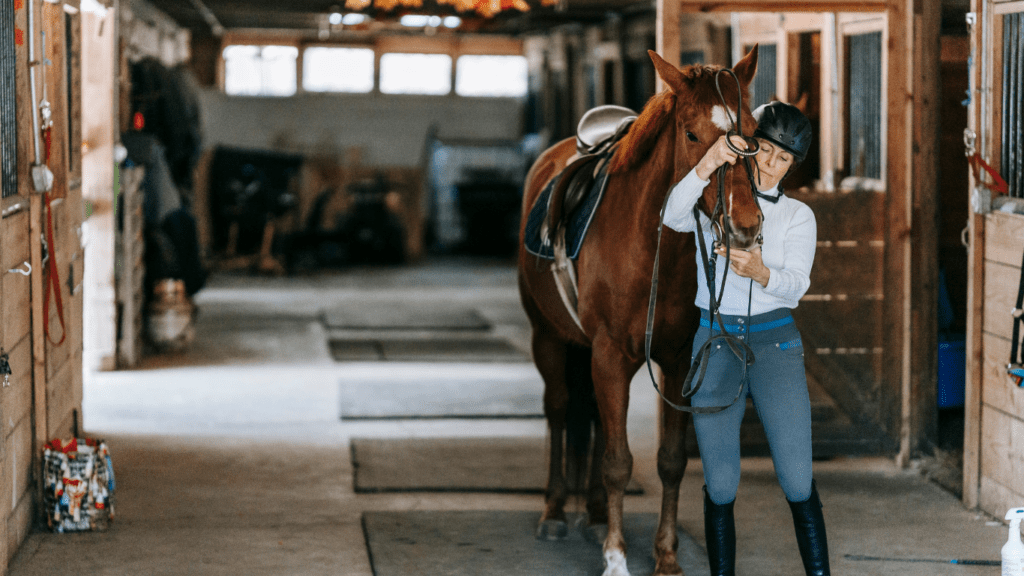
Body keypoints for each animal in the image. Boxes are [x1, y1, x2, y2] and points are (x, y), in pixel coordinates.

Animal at [520, 45, 761, 573]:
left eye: (753, 132)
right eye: (692, 134)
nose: (745, 226)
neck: (653, 249)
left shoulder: (679, 360)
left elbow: (669, 461)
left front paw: (666, 555)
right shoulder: (610, 355)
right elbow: (618, 461)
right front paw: (616, 557)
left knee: (589, 414)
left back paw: (591, 514)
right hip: (548, 337)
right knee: (559, 408)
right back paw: (554, 512)